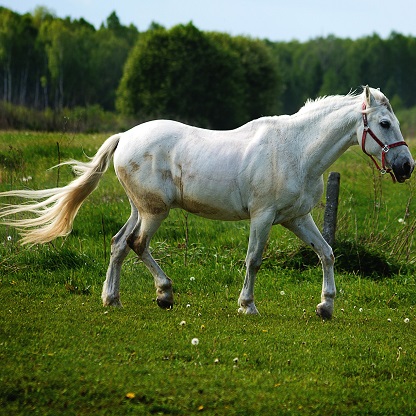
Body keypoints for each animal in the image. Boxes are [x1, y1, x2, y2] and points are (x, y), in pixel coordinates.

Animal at [0, 85, 412, 318]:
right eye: (385, 123)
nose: (406, 166)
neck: (296, 150)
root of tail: (124, 137)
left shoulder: (297, 218)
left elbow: (326, 253)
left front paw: (325, 306)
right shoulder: (263, 217)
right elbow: (254, 260)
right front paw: (248, 306)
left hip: (141, 208)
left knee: (119, 244)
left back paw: (112, 300)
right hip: (155, 211)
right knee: (137, 243)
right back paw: (164, 294)